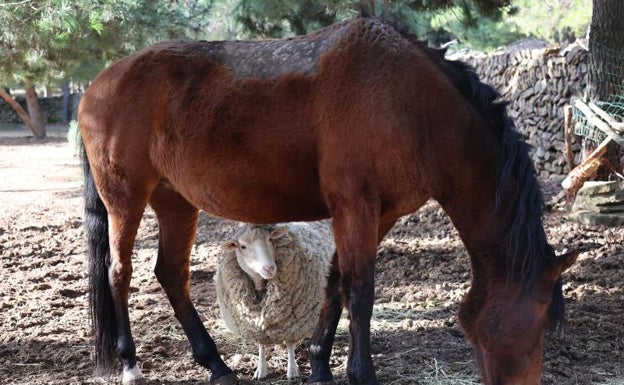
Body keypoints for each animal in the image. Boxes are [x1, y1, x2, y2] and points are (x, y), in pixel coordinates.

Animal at [214, 220, 334, 380]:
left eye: (270, 239)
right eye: (243, 246)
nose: (269, 268)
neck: (261, 286)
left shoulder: (292, 319)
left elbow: (290, 342)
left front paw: (292, 370)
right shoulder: (255, 323)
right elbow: (261, 344)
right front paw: (261, 370)